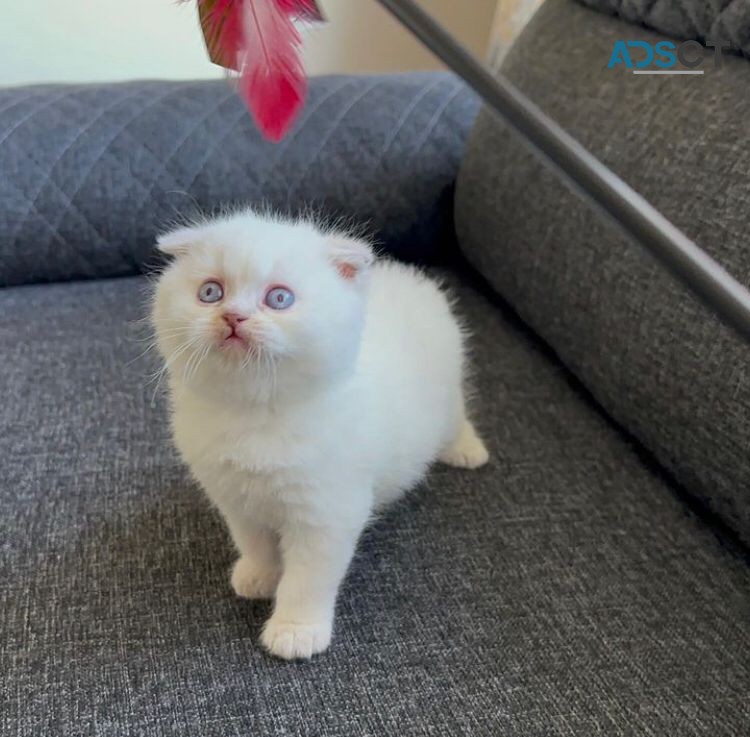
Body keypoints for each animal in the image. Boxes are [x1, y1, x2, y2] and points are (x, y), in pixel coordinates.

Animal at [153, 210, 494, 660]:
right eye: (211, 292)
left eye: (279, 299)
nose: (233, 317)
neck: (256, 413)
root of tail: (406, 278)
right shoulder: (236, 498)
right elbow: (254, 542)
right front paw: (258, 576)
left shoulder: (327, 511)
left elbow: (307, 578)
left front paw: (295, 632)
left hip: (445, 392)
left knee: (457, 416)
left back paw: (468, 451)